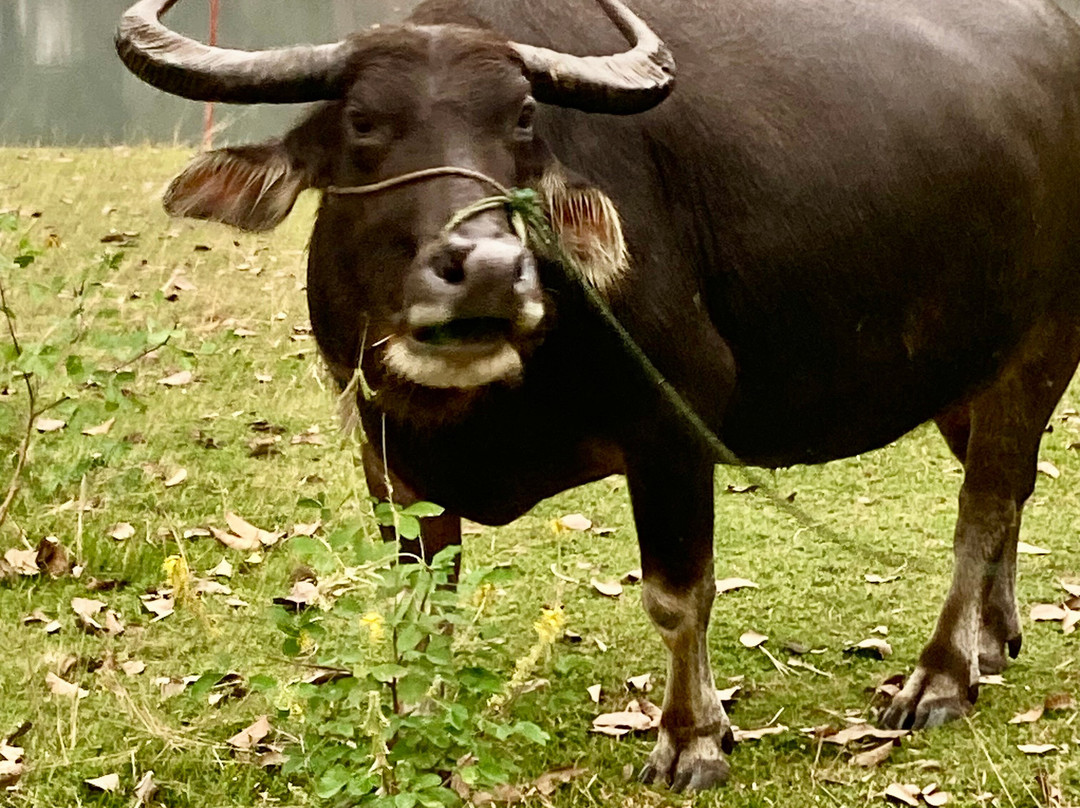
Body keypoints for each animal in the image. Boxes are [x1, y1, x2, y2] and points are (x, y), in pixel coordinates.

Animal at [116, 0, 1080, 791]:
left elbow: (676, 596)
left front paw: (692, 739)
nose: (490, 270)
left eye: (522, 121)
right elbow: (424, 603)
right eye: (363, 121)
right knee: (1010, 491)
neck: (491, 404)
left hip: (1039, 347)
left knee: (981, 508)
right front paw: (418, 721)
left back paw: (941, 674)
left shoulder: (672, 431)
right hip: (967, 375)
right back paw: (992, 638)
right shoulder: (388, 453)